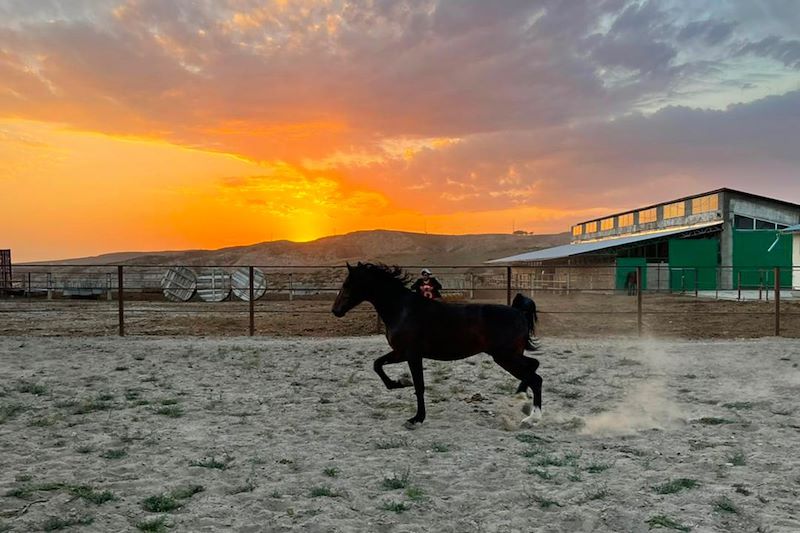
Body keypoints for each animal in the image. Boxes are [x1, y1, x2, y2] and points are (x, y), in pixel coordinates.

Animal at [332, 262, 544, 428]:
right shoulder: (400, 352)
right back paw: (520, 395)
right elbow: (377, 364)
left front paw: (416, 418)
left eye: (347, 284)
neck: (403, 310)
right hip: (510, 355)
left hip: (505, 357)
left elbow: (419, 386)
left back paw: (532, 419)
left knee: (536, 378)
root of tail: (519, 312)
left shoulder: (412, 354)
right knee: (533, 366)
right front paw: (398, 383)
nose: (335, 310)